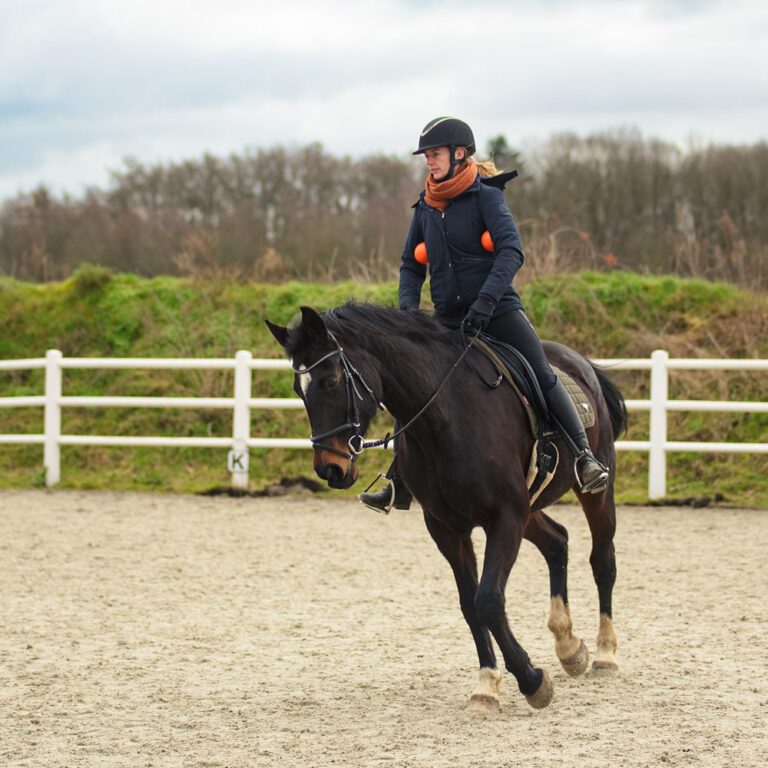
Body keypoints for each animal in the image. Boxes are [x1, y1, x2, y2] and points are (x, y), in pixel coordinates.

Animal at [268, 304, 628, 712]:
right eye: (298, 390)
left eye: (330, 381)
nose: (330, 469)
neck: (446, 417)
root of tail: (580, 363)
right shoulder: (446, 527)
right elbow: (470, 605)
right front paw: (487, 686)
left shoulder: (505, 517)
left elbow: (488, 599)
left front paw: (531, 680)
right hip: (530, 508)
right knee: (557, 541)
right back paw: (569, 647)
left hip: (594, 493)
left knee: (602, 561)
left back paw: (605, 654)